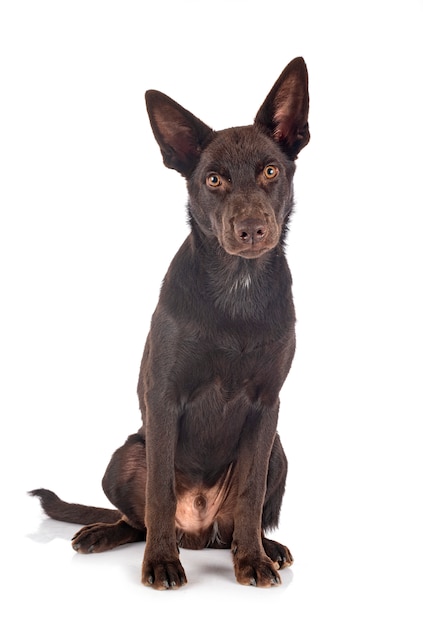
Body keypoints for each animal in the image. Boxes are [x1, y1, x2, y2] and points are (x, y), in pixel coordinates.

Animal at [29, 56, 308, 588]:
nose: (252, 230)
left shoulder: (268, 406)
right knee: (135, 519)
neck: (237, 289)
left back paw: (268, 547)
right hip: (124, 455)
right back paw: (105, 534)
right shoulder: (164, 397)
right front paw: (160, 562)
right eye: (214, 180)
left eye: (270, 171)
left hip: (280, 449)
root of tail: (197, 531)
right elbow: (158, 492)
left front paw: (253, 560)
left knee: (238, 521)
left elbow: (249, 496)